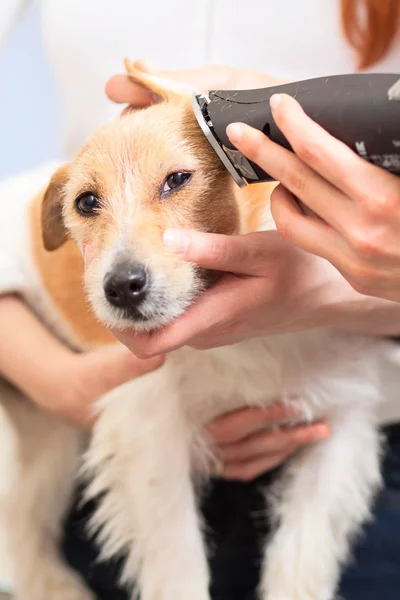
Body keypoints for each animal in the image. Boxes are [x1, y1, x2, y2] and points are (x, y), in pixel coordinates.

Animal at [0, 62, 390, 600]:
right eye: (86, 202)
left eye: (178, 179)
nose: (123, 287)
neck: (253, 340)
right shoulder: (149, 433)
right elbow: (177, 562)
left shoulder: (341, 425)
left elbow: (299, 560)